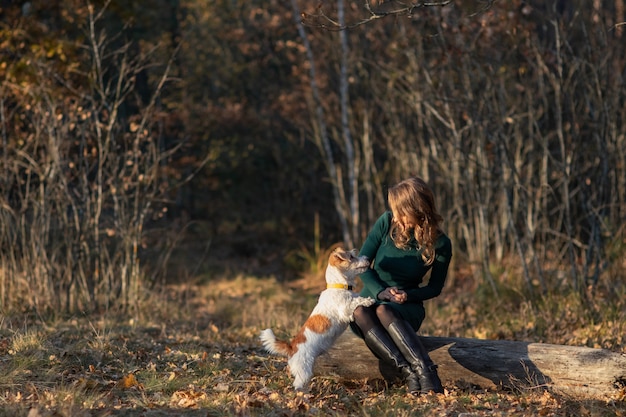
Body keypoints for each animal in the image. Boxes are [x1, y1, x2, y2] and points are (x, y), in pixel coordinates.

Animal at [258, 245, 370, 388]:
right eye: (351, 257)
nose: (367, 258)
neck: (339, 286)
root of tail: (292, 348)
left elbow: (356, 298)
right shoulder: (345, 309)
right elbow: (356, 301)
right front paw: (369, 300)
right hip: (304, 372)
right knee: (297, 385)